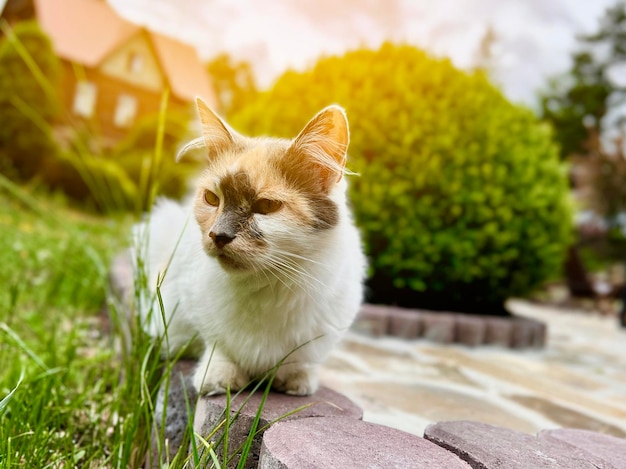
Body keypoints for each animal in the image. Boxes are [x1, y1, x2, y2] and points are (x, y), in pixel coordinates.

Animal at [133, 98, 366, 394]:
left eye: (266, 206)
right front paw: (220, 379)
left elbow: (300, 361)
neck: (267, 286)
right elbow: (218, 345)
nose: (218, 235)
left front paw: (294, 381)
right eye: (212, 199)